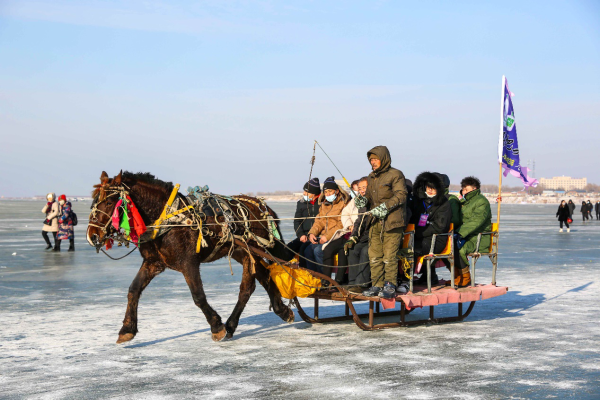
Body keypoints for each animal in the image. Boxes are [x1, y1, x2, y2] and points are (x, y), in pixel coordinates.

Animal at [87, 170, 296, 342]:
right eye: (94, 201)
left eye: (108, 202)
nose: (92, 235)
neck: (168, 219)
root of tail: (263, 206)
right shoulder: (153, 262)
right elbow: (134, 290)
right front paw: (127, 329)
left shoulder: (188, 263)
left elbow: (198, 296)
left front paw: (216, 326)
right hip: (245, 251)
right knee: (261, 279)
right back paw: (280, 311)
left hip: (259, 249)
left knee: (254, 283)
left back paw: (233, 323)